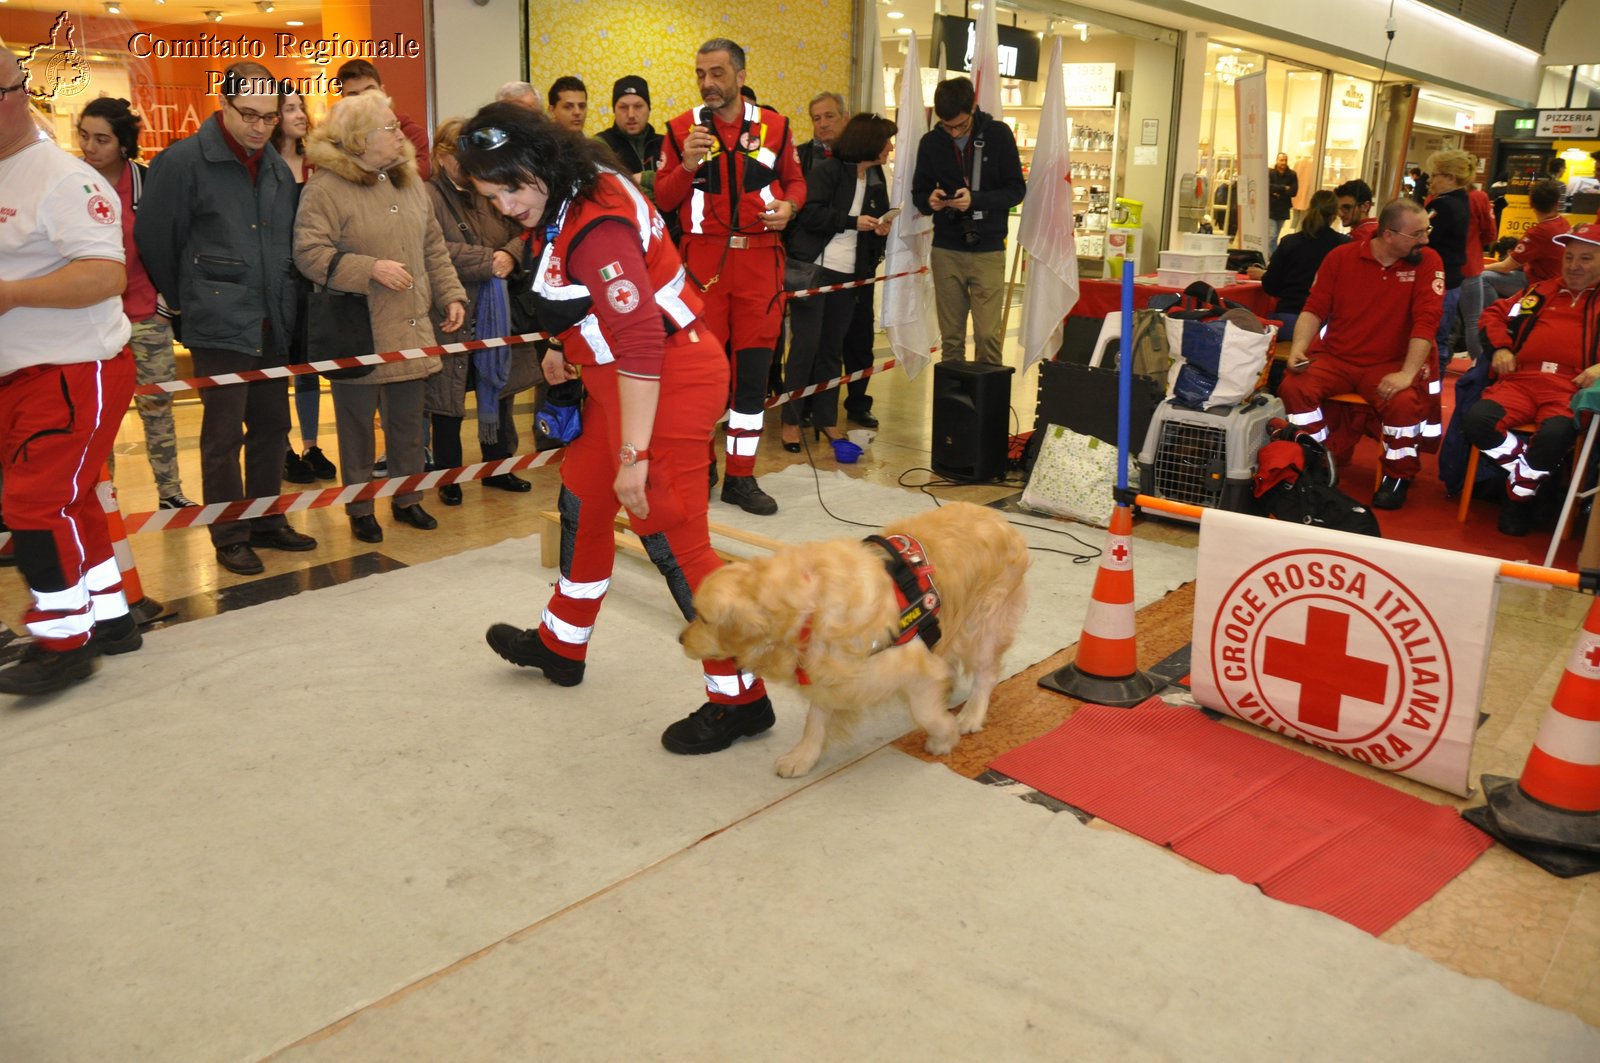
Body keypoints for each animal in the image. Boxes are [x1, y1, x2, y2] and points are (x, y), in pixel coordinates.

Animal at [681, 502, 1030, 778]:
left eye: (705, 618)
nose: (680, 638)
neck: (811, 609)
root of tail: (1000, 519)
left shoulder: (913, 666)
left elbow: (925, 713)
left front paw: (944, 736)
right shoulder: (828, 672)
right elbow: (815, 720)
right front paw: (802, 757)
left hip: (985, 624)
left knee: (985, 674)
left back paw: (970, 714)